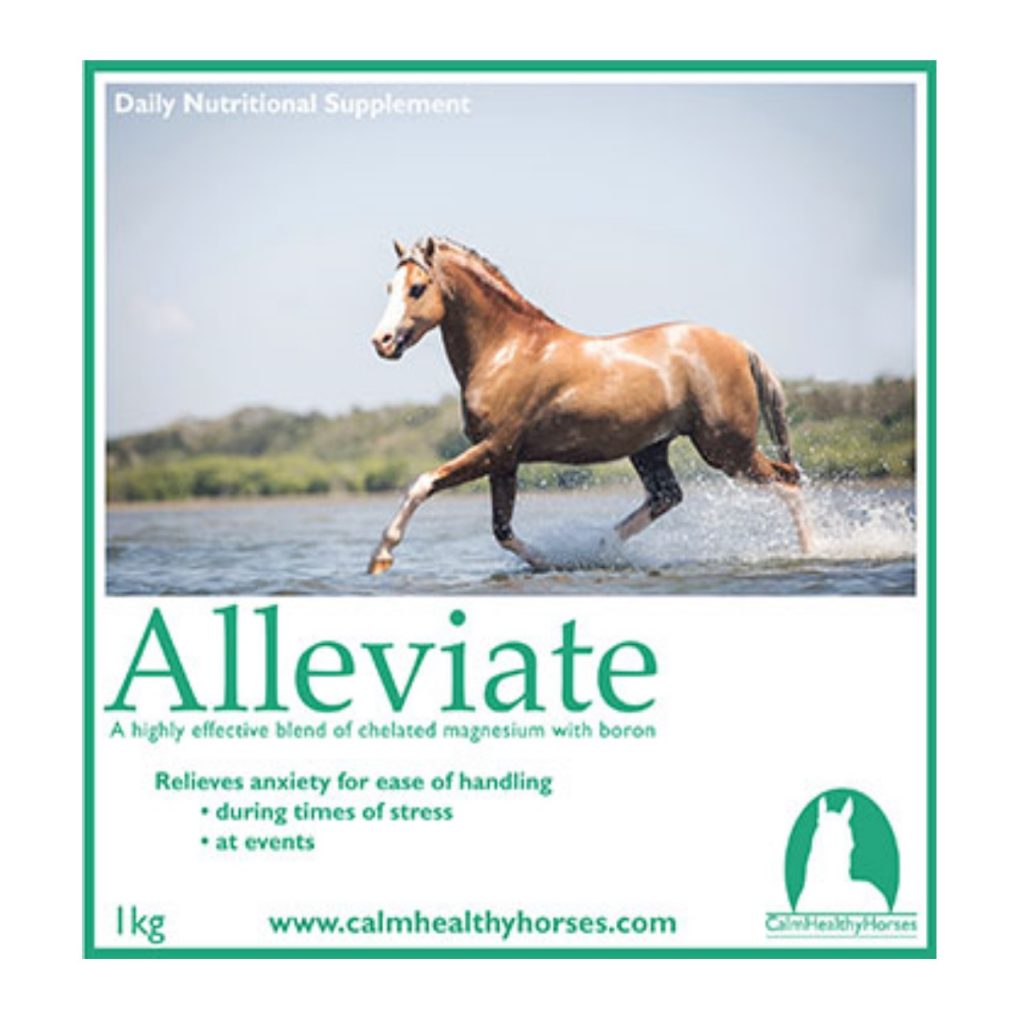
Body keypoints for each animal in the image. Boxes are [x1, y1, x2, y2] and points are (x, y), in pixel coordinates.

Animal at [366, 236, 811, 575]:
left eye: (417, 288)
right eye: (389, 288)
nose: (382, 341)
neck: (504, 350)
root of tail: (739, 345)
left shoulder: (495, 449)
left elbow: (423, 483)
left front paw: (381, 557)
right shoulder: (504, 461)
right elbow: (502, 530)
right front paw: (550, 561)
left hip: (726, 449)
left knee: (788, 482)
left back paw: (812, 551)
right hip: (651, 449)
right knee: (666, 497)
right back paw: (600, 548)